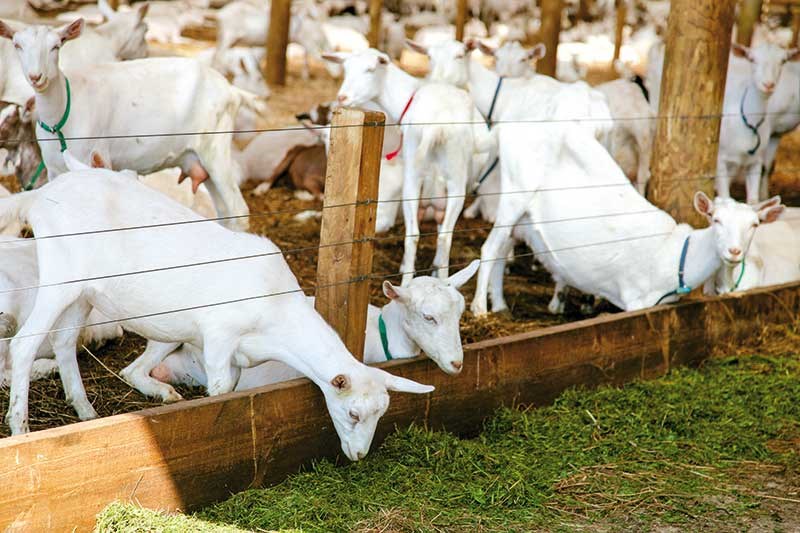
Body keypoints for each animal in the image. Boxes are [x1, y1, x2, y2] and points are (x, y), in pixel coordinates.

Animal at [0, 18, 262, 231]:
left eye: (57, 45)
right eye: (17, 45)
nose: (36, 77)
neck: (63, 111)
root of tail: (232, 91)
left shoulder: (93, 157)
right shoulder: (55, 169)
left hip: (215, 148)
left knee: (238, 210)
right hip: (198, 159)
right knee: (225, 212)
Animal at [0, 153, 432, 458]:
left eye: (380, 413)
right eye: (354, 414)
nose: (358, 455)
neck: (277, 315)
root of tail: (39, 196)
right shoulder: (219, 336)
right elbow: (220, 391)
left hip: (85, 293)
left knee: (64, 342)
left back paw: (86, 412)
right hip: (59, 275)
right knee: (24, 344)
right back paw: (20, 428)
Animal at [324, 47, 494, 284]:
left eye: (370, 69)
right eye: (345, 69)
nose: (342, 97)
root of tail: (436, 126)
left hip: (421, 180)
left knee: (420, 235)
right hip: (450, 181)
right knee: (439, 237)